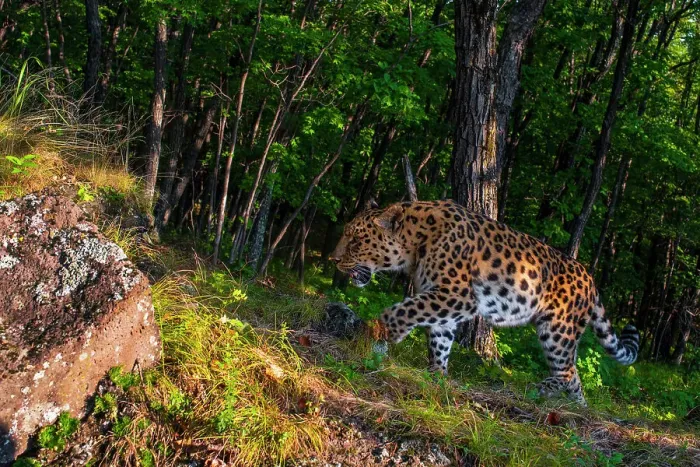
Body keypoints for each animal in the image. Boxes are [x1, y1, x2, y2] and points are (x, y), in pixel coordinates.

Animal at [330, 200, 639, 406]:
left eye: (355, 240)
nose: (333, 259)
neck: (414, 244)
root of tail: (590, 279)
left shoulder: (458, 295)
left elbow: (407, 309)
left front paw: (383, 329)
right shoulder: (442, 300)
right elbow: (439, 340)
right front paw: (436, 376)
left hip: (558, 330)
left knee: (567, 371)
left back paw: (540, 389)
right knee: (574, 378)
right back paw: (576, 411)